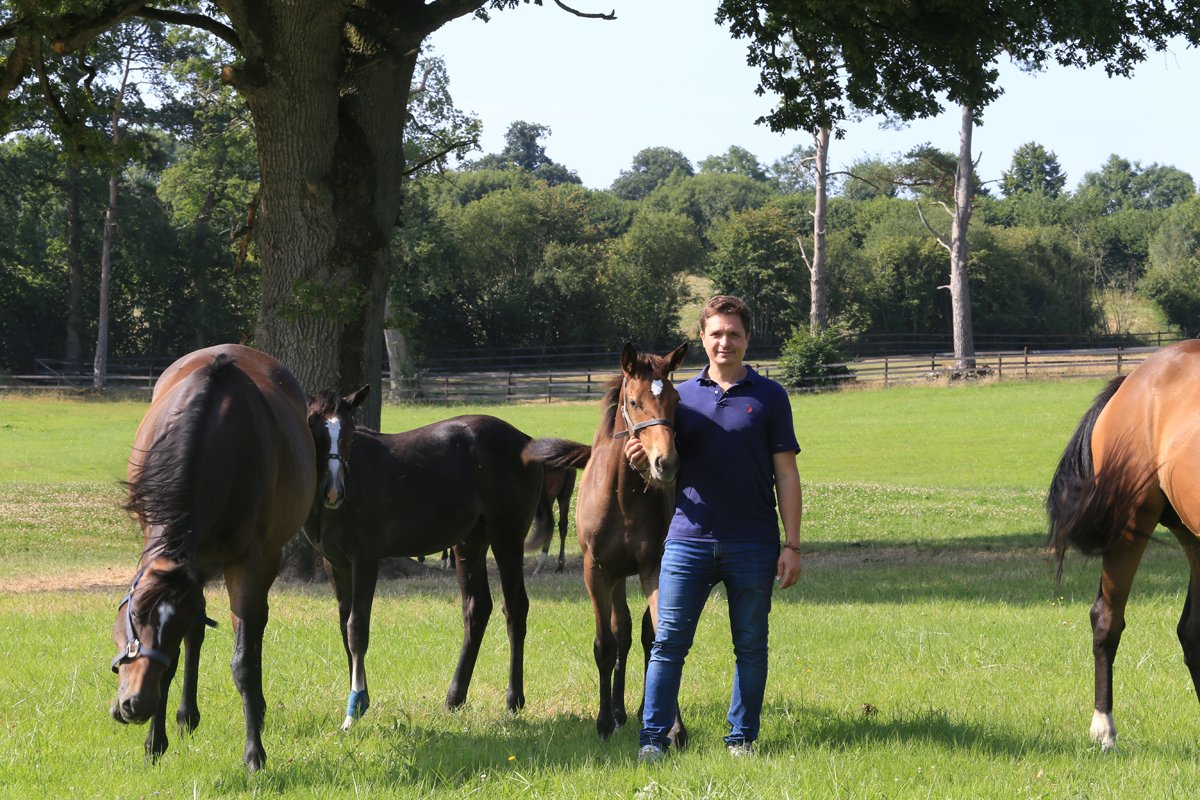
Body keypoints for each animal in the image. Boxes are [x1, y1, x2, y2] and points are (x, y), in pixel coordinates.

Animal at [109, 344, 314, 771]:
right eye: (135, 616)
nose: (136, 705)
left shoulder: (247, 564)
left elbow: (243, 661)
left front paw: (254, 754)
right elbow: (183, 646)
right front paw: (155, 742)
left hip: (265, 559)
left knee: (256, 626)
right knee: (199, 634)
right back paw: (187, 715)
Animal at [303, 386, 580, 730]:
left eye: (351, 433)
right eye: (315, 429)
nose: (333, 491)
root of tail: (526, 441)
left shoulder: (365, 559)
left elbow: (357, 629)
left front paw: (354, 709)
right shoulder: (336, 564)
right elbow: (344, 627)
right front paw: (358, 697)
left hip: (507, 538)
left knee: (515, 607)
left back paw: (513, 699)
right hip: (469, 542)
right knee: (477, 608)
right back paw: (454, 697)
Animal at [528, 342, 689, 743]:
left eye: (676, 398)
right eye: (633, 402)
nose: (666, 463)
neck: (623, 495)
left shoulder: (653, 567)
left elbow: (660, 638)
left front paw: (673, 726)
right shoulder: (596, 570)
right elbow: (606, 644)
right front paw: (602, 721)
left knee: (638, 634)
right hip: (614, 577)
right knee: (622, 632)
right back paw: (616, 712)